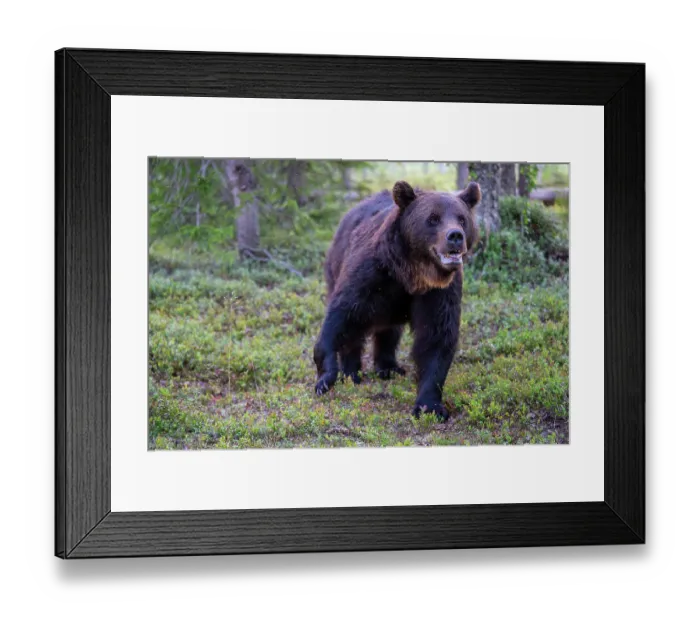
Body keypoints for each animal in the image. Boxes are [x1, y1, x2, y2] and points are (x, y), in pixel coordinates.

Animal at [313, 180, 482, 420]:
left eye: (461, 218)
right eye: (433, 218)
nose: (455, 236)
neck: (410, 273)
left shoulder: (439, 292)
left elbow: (436, 336)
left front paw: (430, 405)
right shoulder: (372, 274)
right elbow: (342, 313)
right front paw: (326, 378)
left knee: (389, 331)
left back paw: (389, 367)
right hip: (337, 264)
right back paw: (352, 371)